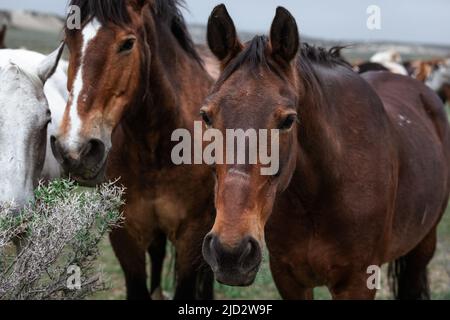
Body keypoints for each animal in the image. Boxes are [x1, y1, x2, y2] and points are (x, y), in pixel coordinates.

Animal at [201, 4, 450, 300]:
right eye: (206, 116)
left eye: (288, 120)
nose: (230, 253)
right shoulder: (288, 278)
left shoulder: (358, 282)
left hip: (423, 245)